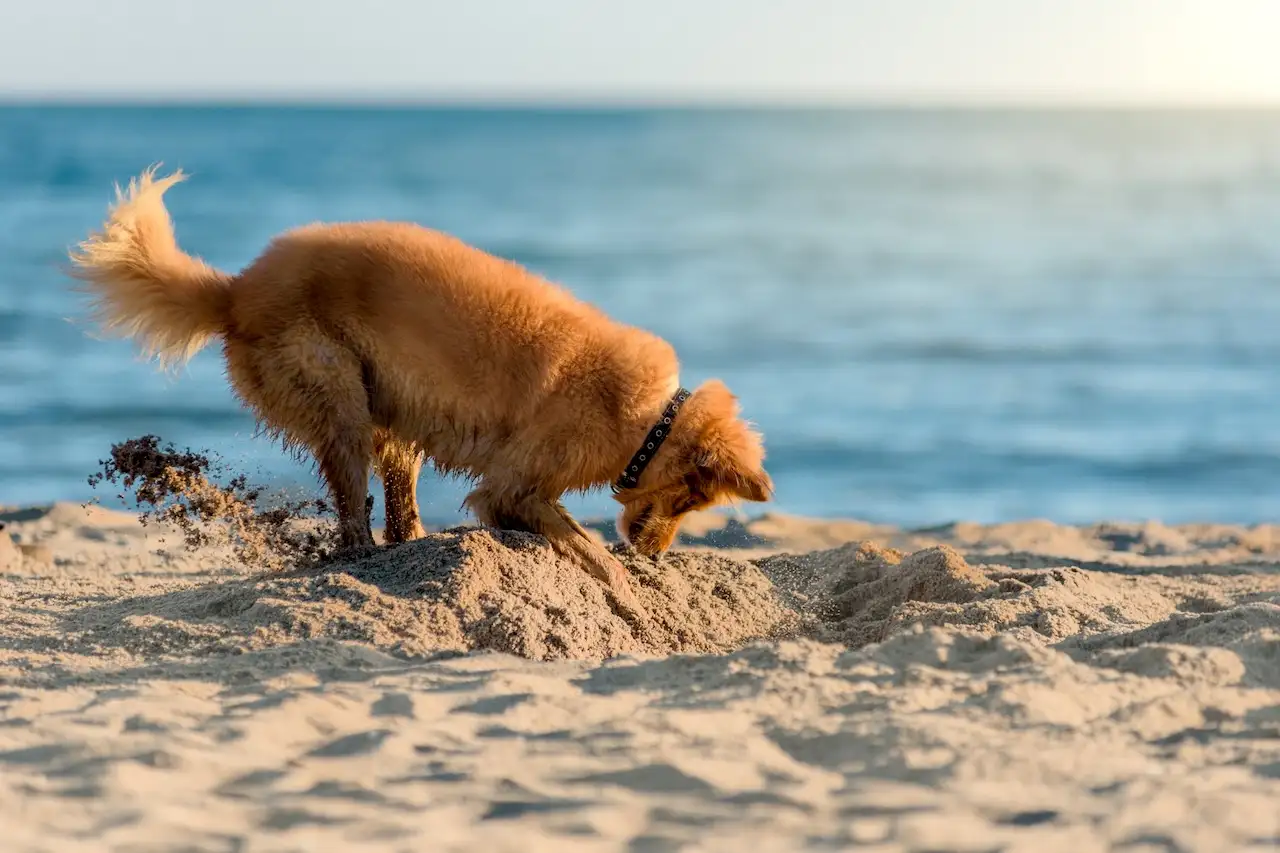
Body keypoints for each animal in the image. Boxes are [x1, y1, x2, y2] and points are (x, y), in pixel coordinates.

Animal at [70, 167, 773, 604]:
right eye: (691, 500)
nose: (653, 558)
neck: (651, 420)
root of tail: (238, 289)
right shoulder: (512, 488)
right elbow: (582, 545)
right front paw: (627, 590)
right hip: (339, 398)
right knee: (352, 504)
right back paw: (359, 557)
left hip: (394, 413)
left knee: (397, 503)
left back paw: (411, 546)